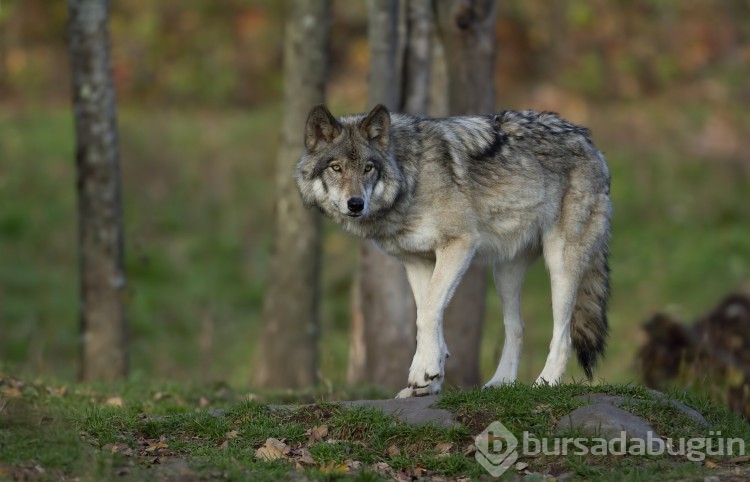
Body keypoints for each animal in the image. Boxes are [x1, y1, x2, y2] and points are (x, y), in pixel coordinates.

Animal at [294, 103, 612, 398]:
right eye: (336, 168)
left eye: (368, 168)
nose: (356, 204)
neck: (411, 177)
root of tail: (590, 142)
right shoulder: (417, 261)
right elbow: (428, 314)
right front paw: (429, 378)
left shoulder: (459, 244)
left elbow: (428, 312)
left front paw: (423, 371)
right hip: (504, 273)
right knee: (517, 328)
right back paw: (500, 383)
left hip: (560, 264)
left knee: (563, 335)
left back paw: (545, 383)